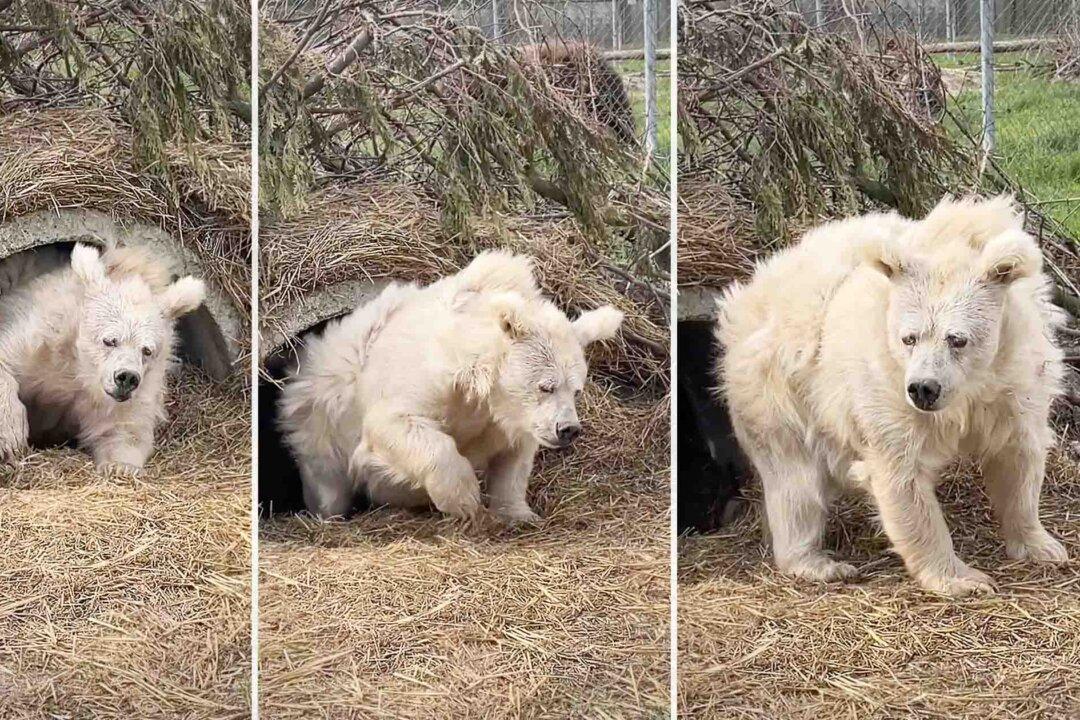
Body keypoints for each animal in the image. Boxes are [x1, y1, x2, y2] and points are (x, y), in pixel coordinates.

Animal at [0, 243, 205, 475]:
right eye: (109, 340)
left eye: (146, 350)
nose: (126, 378)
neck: (82, 369)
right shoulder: (42, 341)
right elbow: (7, 360)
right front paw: (12, 438)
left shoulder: (135, 393)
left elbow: (124, 431)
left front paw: (120, 468)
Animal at [277, 250, 625, 523]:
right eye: (546, 386)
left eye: (576, 390)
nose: (568, 429)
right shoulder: (426, 379)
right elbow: (394, 423)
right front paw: (463, 497)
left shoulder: (508, 420)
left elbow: (513, 459)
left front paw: (519, 513)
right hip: (321, 422)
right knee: (327, 481)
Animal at [717, 195, 1067, 596]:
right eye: (908, 337)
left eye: (957, 339)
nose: (924, 388)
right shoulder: (885, 387)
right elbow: (902, 476)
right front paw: (964, 579)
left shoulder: (1016, 381)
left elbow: (1018, 455)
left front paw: (1043, 545)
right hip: (779, 390)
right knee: (795, 483)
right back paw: (820, 563)